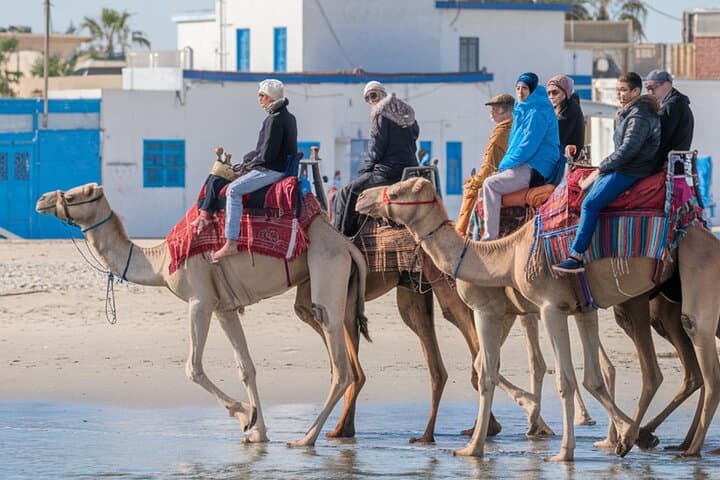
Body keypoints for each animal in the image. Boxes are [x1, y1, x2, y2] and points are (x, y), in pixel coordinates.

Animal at [35, 183, 369, 447]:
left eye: (76, 195)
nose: (42, 199)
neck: (162, 262)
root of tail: (347, 246)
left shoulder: (200, 301)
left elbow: (192, 368)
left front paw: (244, 415)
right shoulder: (225, 308)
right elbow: (246, 368)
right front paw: (257, 430)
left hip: (327, 273)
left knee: (340, 368)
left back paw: (306, 438)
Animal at [356, 177, 720, 461]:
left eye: (398, 191)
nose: (362, 197)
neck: (505, 255)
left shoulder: (545, 307)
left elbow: (560, 379)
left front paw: (564, 451)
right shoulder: (581, 308)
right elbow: (588, 378)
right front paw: (632, 437)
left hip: (690, 284)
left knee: (700, 362)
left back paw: (691, 449)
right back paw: (667, 441)